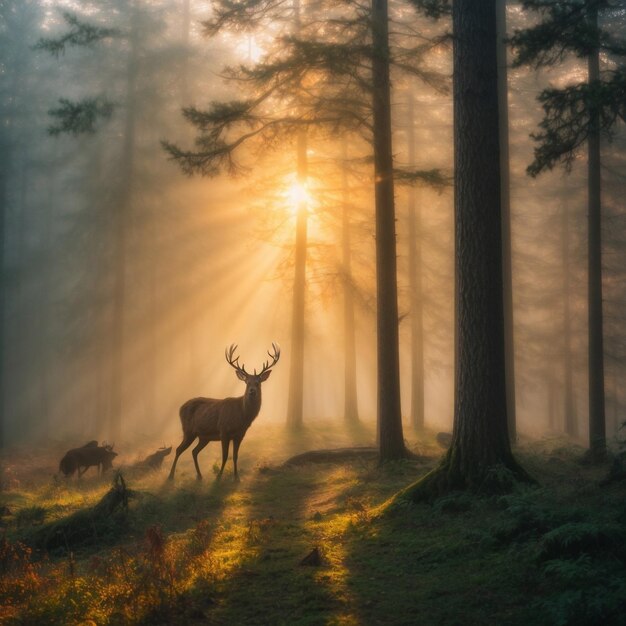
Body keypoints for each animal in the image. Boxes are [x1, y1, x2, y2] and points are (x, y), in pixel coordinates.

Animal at [168, 344, 280, 480]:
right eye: (247, 382)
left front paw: (236, 478)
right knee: (179, 449)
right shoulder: (223, 430)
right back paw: (171, 476)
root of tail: (180, 408)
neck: (242, 417)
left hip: (204, 437)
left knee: (194, 451)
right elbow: (225, 456)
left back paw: (199, 476)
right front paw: (219, 477)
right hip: (188, 430)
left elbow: (235, 456)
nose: (252, 391)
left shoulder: (240, 434)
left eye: (258, 383)